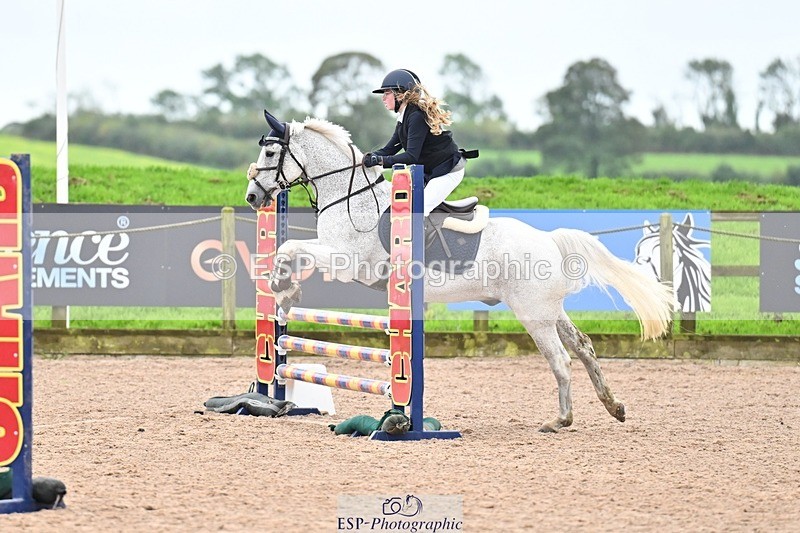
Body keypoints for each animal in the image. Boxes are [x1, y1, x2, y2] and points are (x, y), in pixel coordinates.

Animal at [245, 110, 676, 432]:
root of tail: (550, 241)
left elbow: (289, 248)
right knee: (584, 347)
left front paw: (284, 291)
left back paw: (561, 420)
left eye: (271, 153)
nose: (252, 197)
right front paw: (283, 294)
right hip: (550, 309)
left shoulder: (349, 260)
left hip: (533, 313)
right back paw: (614, 406)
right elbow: (289, 250)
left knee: (561, 360)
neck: (350, 196)